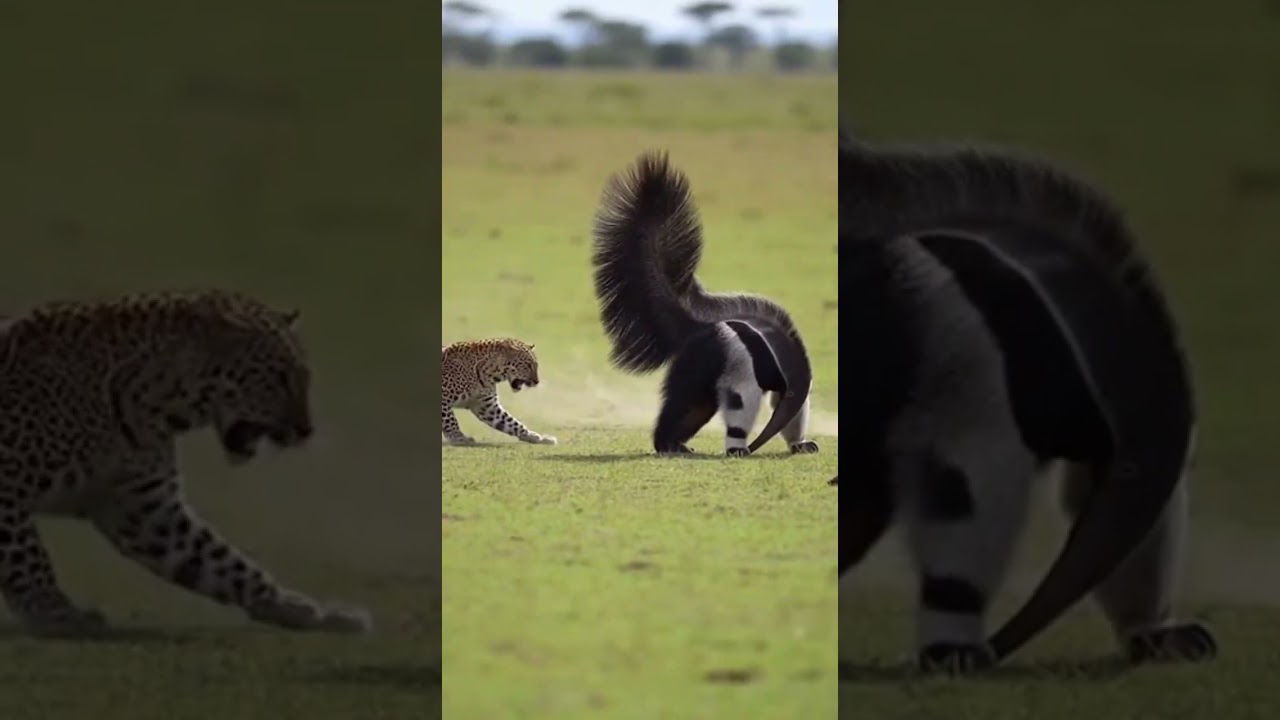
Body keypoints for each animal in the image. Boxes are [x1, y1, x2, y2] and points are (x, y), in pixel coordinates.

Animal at [0, 288, 370, 637]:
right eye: (280, 377)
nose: (307, 430)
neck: (152, 406)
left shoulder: (144, 508)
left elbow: (221, 562)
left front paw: (300, 609)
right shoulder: (8, 487)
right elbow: (28, 556)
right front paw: (53, 612)